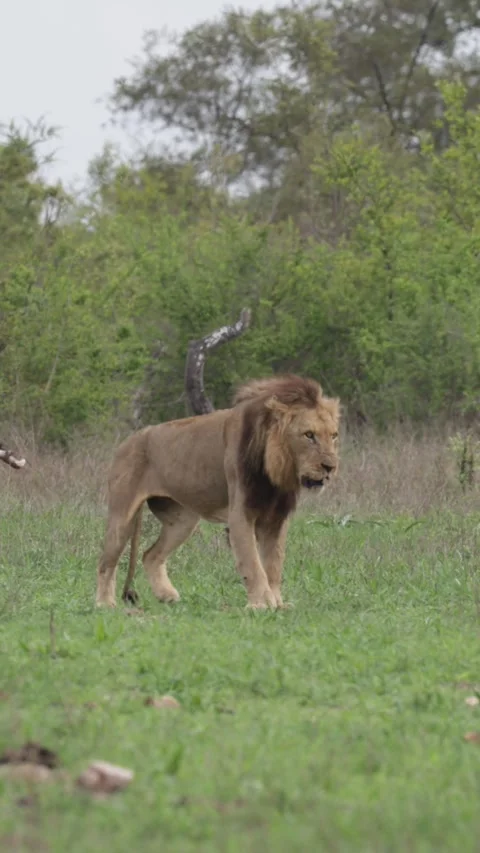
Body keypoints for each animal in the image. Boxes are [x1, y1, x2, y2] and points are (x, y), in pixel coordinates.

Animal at [95, 374, 340, 610]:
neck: (276, 470)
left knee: (150, 555)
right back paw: (104, 603)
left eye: (334, 435)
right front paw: (260, 604)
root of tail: (128, 441)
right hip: (122, 515)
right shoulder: (240, 514)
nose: (330, 467)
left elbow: (274, 564)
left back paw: (167, 596)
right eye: (309, 435)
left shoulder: (277, 518)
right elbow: (252, 563)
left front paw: (278, 603)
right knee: (106, 562)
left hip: (182, 521)